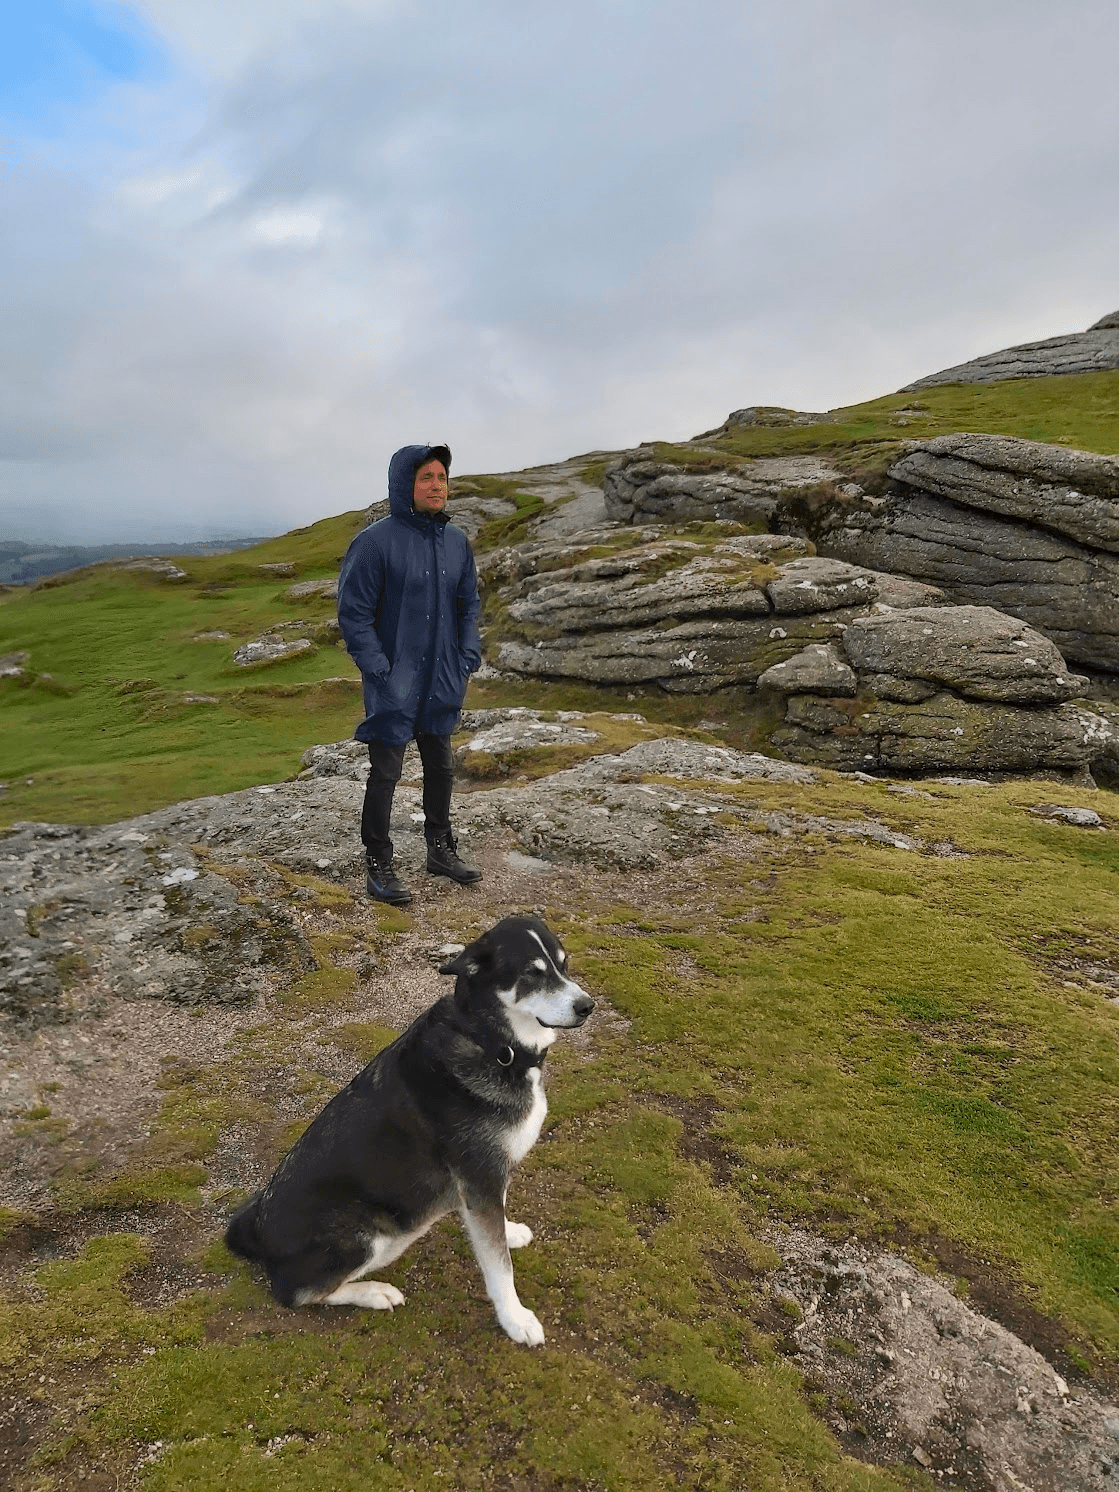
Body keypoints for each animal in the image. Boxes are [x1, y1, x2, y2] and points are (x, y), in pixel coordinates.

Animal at [225, 913, 596, 1348]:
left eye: (564, 965)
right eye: (531, 974)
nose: (587, 1006)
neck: (491, 1043)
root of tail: (256, 1231)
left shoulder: (486, 1179)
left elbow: (495, 1228)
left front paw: (509, 1231)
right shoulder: (479, 1175)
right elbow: (498, 1266)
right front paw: (515, 1319)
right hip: (368, 1237)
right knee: (296, 1292)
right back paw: (374, 1292)